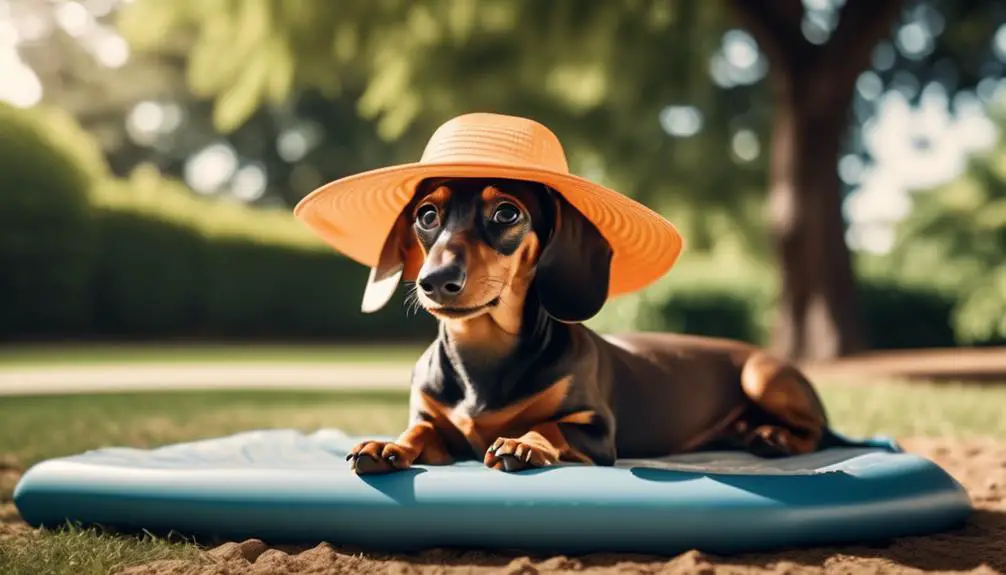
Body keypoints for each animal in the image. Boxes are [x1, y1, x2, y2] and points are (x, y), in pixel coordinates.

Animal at [348, 177, 841, 474]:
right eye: (427, 215)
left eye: (507, 213)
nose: (435, 281)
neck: (482, 356)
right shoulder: (433, 422)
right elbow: (419, 430)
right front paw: (387, 446)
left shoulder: (598, 431)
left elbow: (552, 425)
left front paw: (524, 442)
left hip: (762, 374)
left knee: (818, 434)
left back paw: (775, 436)